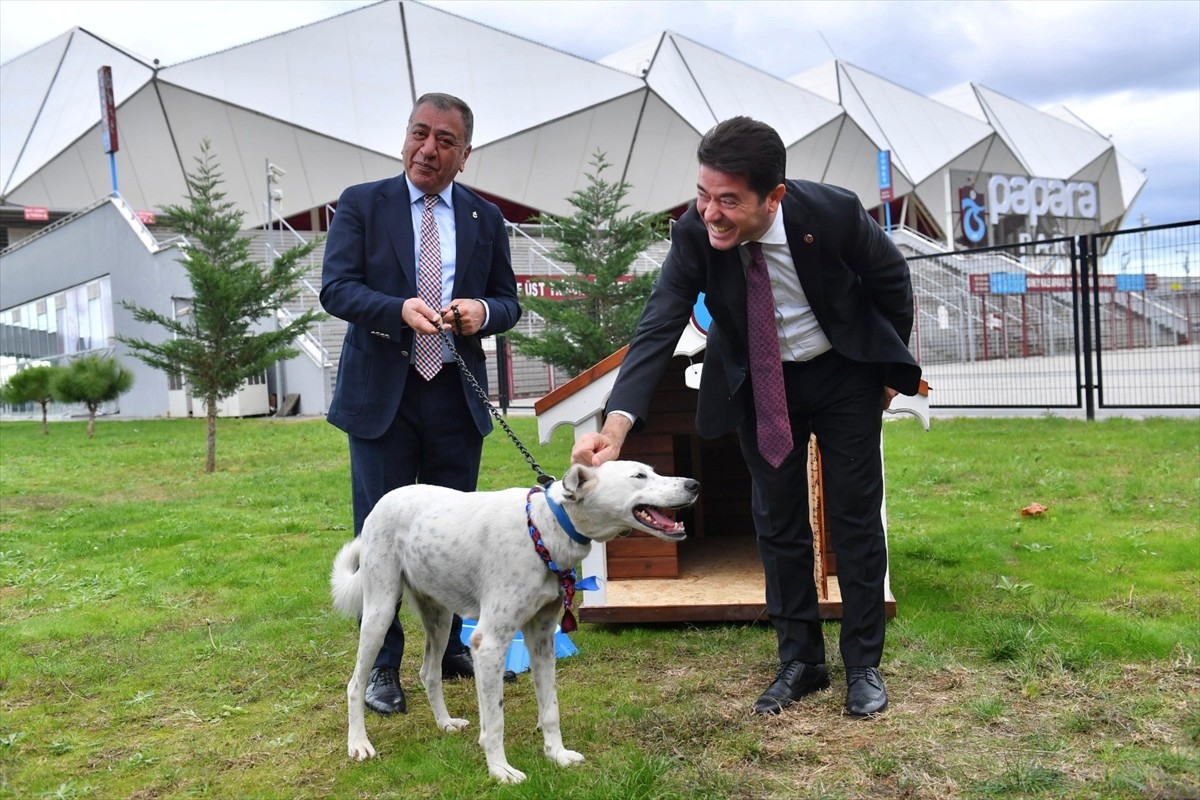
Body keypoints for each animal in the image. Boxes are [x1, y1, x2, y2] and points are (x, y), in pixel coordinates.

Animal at [333, 460, 700, 786]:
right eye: (639, 476)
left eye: (652, 471)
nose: (694, 484)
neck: (545, 528)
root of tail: (388, 497)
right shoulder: (489, 643)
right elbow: (495, 720)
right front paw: (500, 771)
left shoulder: (542, 638)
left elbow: (550, 709)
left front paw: (557, 754)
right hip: (380, 612)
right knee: (355, 684)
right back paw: (359, 744)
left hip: (440, 618)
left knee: (429, 672)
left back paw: (445, 723)